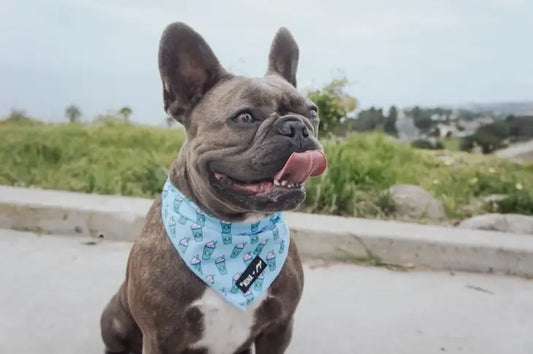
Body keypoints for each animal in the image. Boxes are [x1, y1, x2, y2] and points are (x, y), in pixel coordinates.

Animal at [99, 22, 324, 354]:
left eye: (312, 112)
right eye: (245, 117)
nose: (297, 126)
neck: (234, 232)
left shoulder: (279, 327)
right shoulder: (160, 337)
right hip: (114, 315)